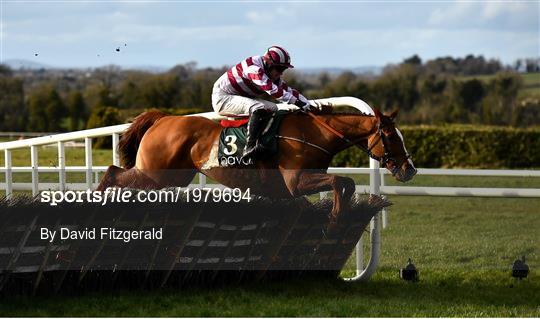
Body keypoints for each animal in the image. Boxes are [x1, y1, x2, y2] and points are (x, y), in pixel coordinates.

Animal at [98, 97, 418, 225]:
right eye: (391, 136)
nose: (409, 169)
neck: (314, 133)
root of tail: (162, 118)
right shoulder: (295, 182)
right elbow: (342, 180)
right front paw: (337, 216)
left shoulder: (289, 191)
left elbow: (345, 183)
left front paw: (340, 214)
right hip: (158, 172)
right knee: (113, 171)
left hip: (172, 175)